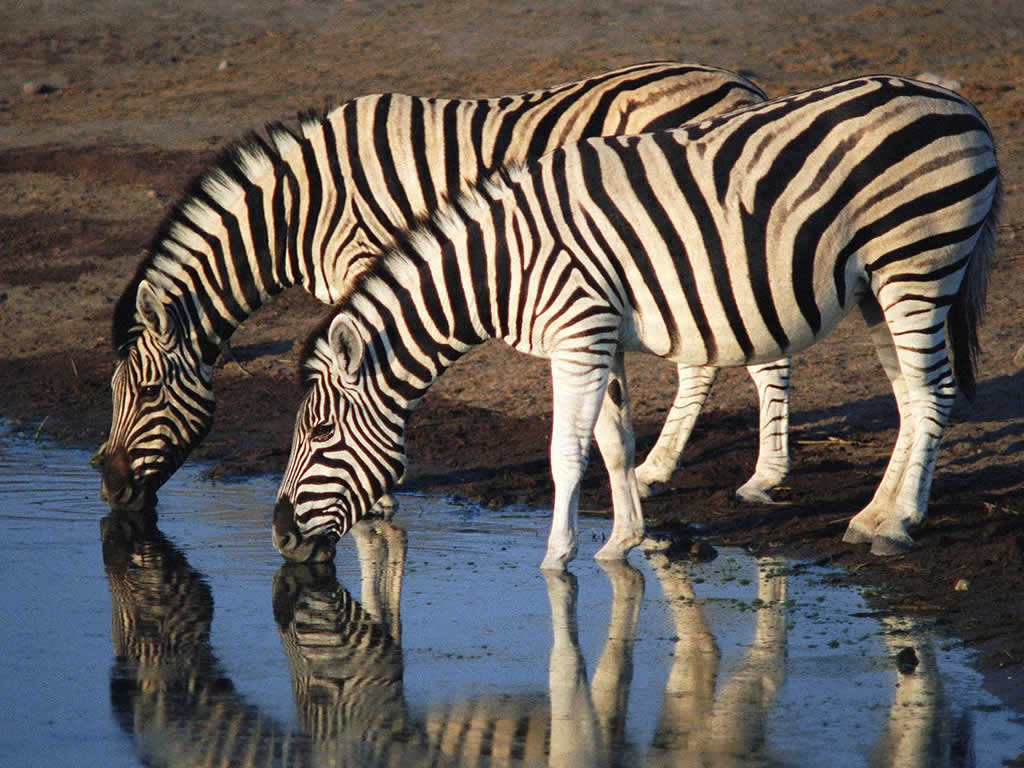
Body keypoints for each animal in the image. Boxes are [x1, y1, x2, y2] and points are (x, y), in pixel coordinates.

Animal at [96, 61, 791, 524]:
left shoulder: (365, 260)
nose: (109, 487)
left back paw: (764, 478)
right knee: (704, 356)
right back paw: (656, 469)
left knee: (764, 352)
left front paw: (376, 493)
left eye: (149, 392)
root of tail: (744, 86)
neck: (298, 209)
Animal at [272, 75, 1000, 569]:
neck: (502, 264)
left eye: (321, 431)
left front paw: (557, 559)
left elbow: (567, 452)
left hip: (918, 263)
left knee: (932, 393)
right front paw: (623, 541)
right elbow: (615, 441)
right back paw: (872, 513)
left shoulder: (579, 336)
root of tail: (960, 104)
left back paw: (899, 524)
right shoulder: (596, 339)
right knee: (908, 396)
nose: (278, 533)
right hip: (879, 284)